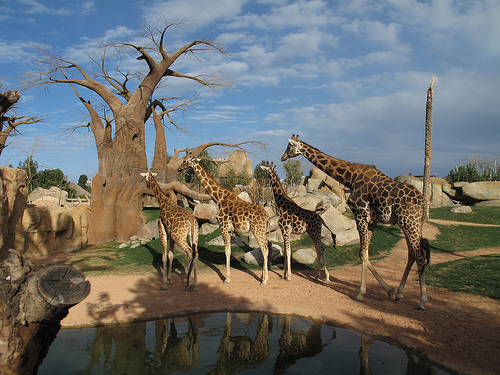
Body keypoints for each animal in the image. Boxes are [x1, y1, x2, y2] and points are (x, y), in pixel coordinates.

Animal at [176, 154, 270, 286]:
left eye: (185, 161)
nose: (179, 168)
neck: (219, 198)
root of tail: (267, 217)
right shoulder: (229, 229)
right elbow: (228, 251)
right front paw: (228, 277)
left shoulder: (223, 226)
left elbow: (227, 252)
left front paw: (227, 279)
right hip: (262, 231)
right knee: (264, 249)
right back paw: (262, 277)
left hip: (258, 230)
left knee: (265, 249)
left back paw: (265, 280)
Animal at [282, 135, 430, 312]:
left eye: (289, 147)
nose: (282, 157)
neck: (350, 178)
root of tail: (423, 203)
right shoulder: (371, 220)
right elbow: (364, 253)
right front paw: (389, 289)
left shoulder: (360, 213)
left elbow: (362, 253)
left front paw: (360, 294)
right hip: (414, 224)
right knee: (412, 253)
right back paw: (400, 293)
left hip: (409, 222)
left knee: (419, 256)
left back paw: (422, 301)